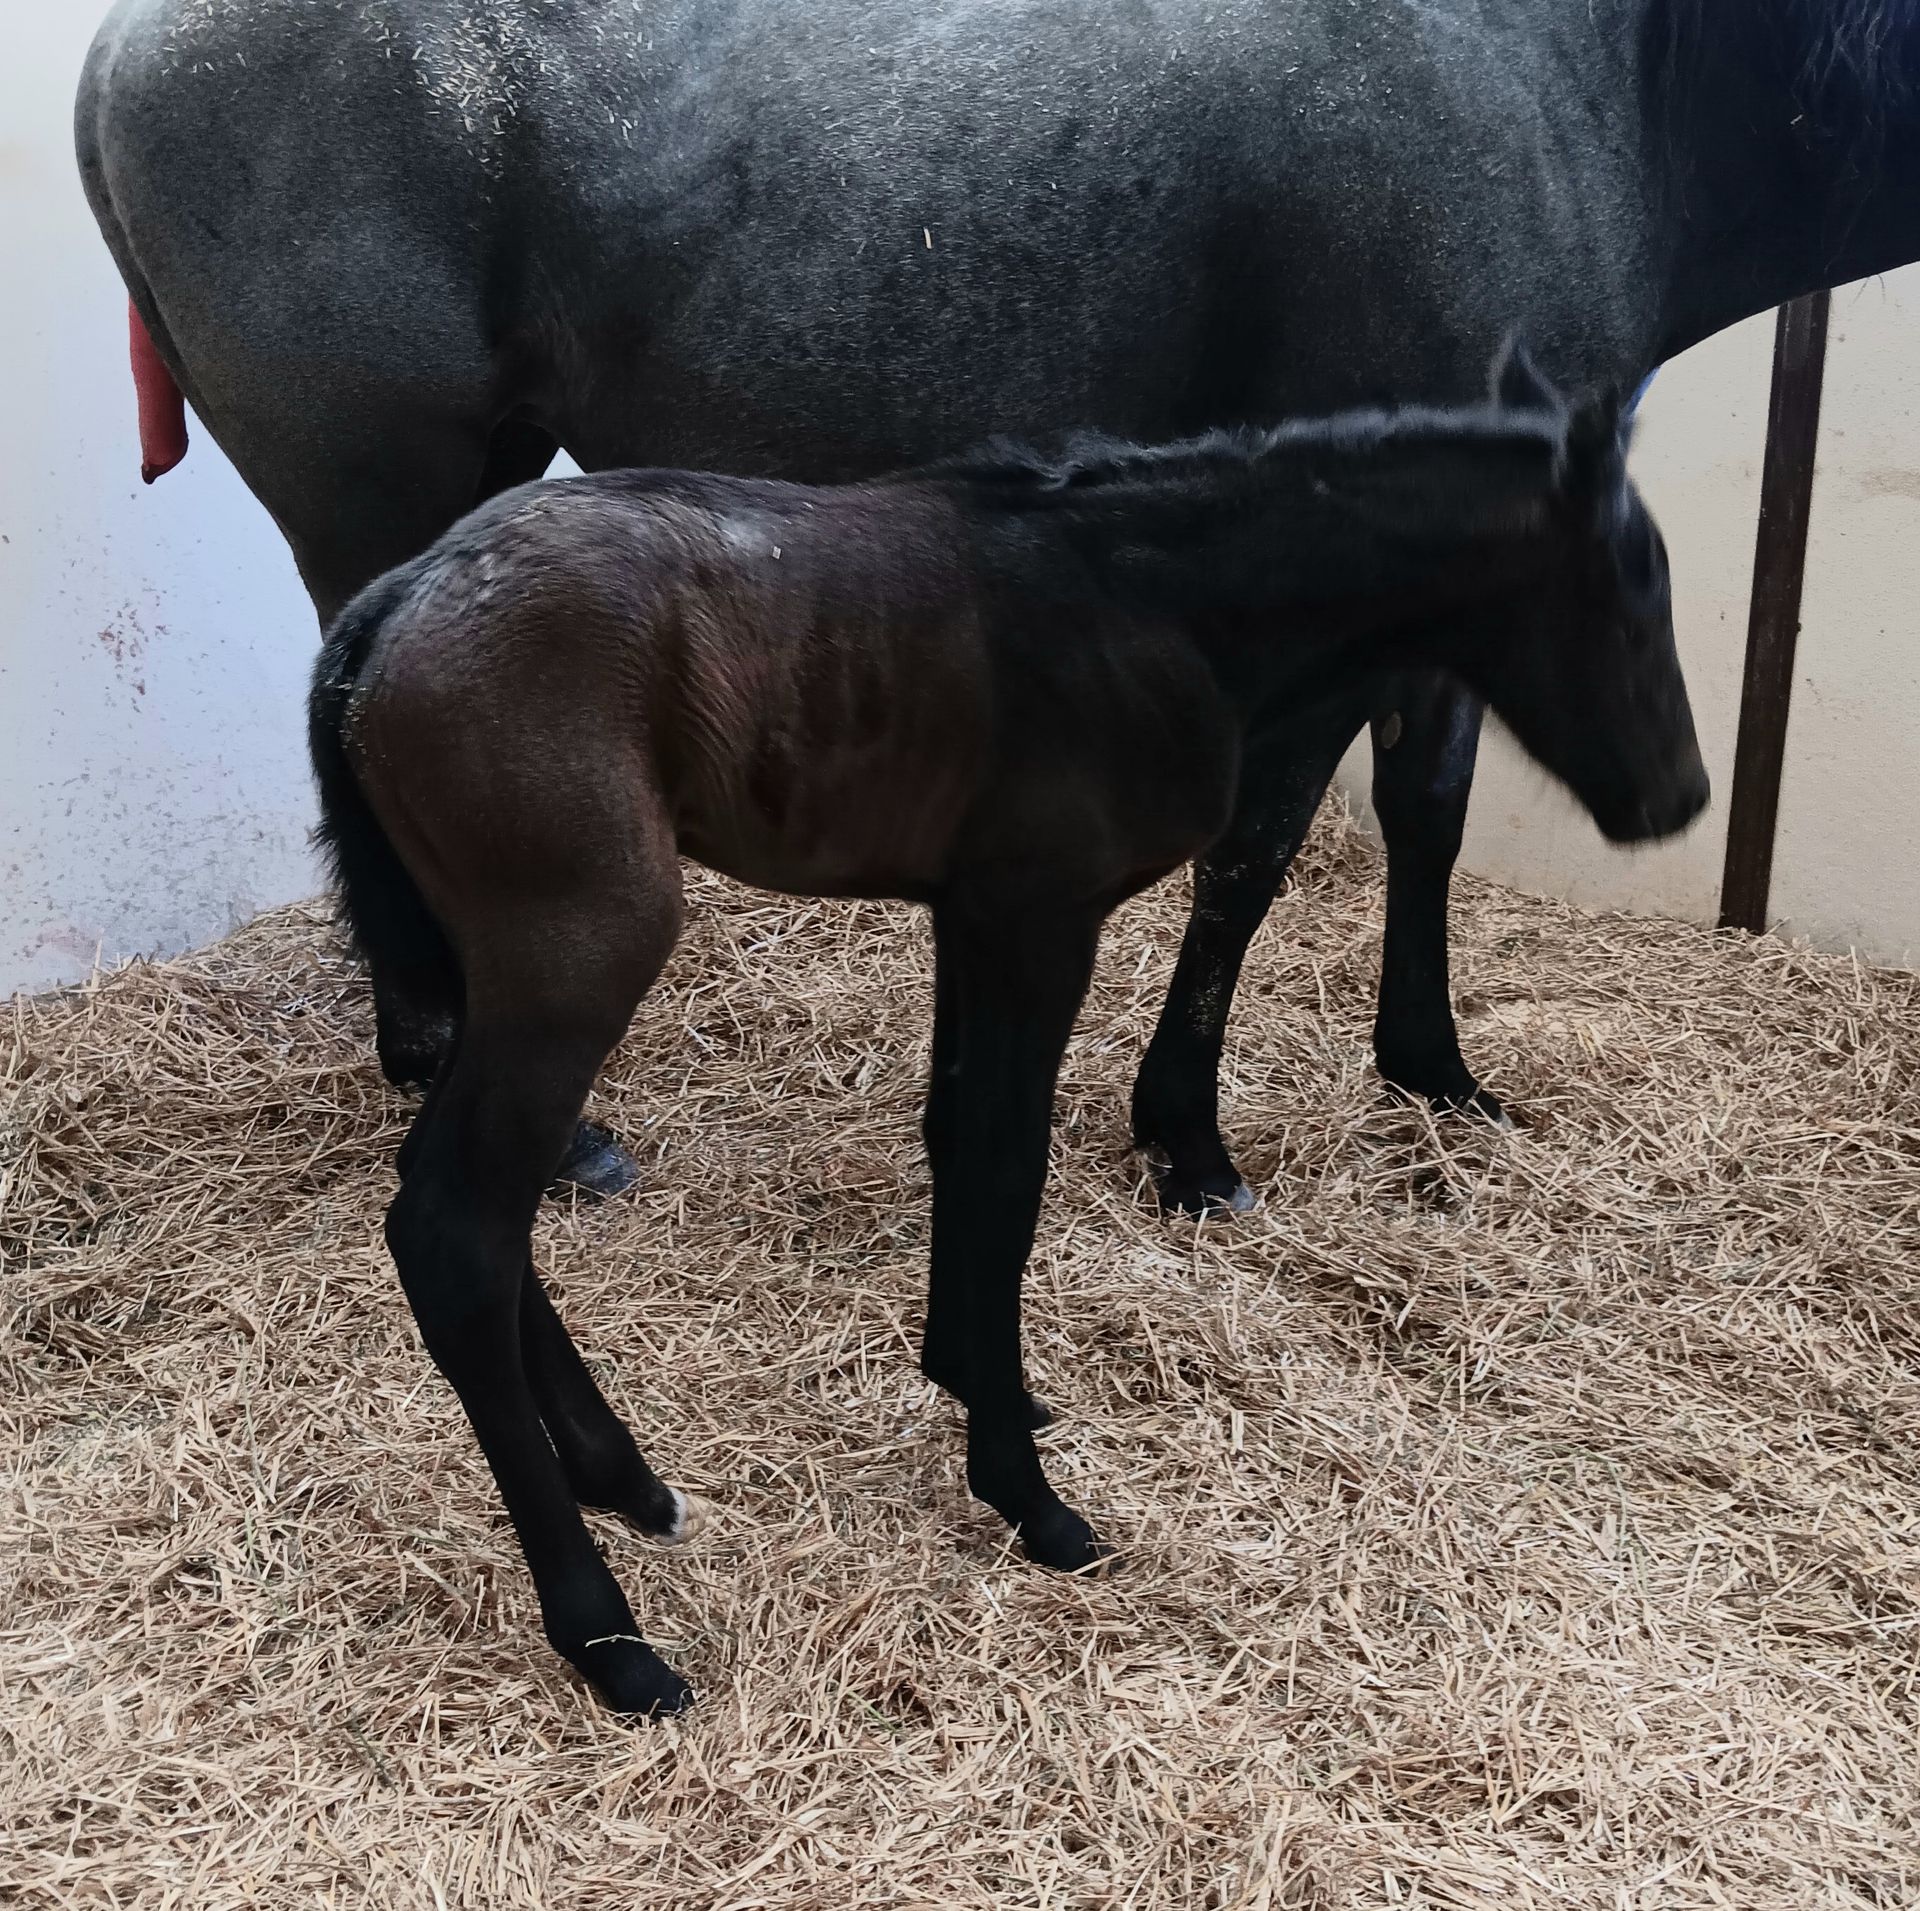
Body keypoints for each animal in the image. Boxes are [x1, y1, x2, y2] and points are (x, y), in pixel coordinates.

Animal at [75, 0, 1920, 1211]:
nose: (1672, 792)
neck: (1610, 77)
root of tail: (117, 54)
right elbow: (1255, 850)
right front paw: (1189, 1139)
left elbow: (1429, 809)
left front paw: (1434, 1072)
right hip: (382, 496)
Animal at [307, 362, 1707, 1714]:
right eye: (1634, 584)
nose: (1680, 795)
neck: (1153, 602)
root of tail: (389, 605)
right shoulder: (1045, 918)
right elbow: (1008, 1164)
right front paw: (1026, 1493)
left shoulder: (973, 915)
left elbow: (956, 1134)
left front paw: (979, 1380)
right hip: (579, 954)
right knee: (458, 1232)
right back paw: (611, 1639)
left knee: (460, 1198)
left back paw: (627, 1478)